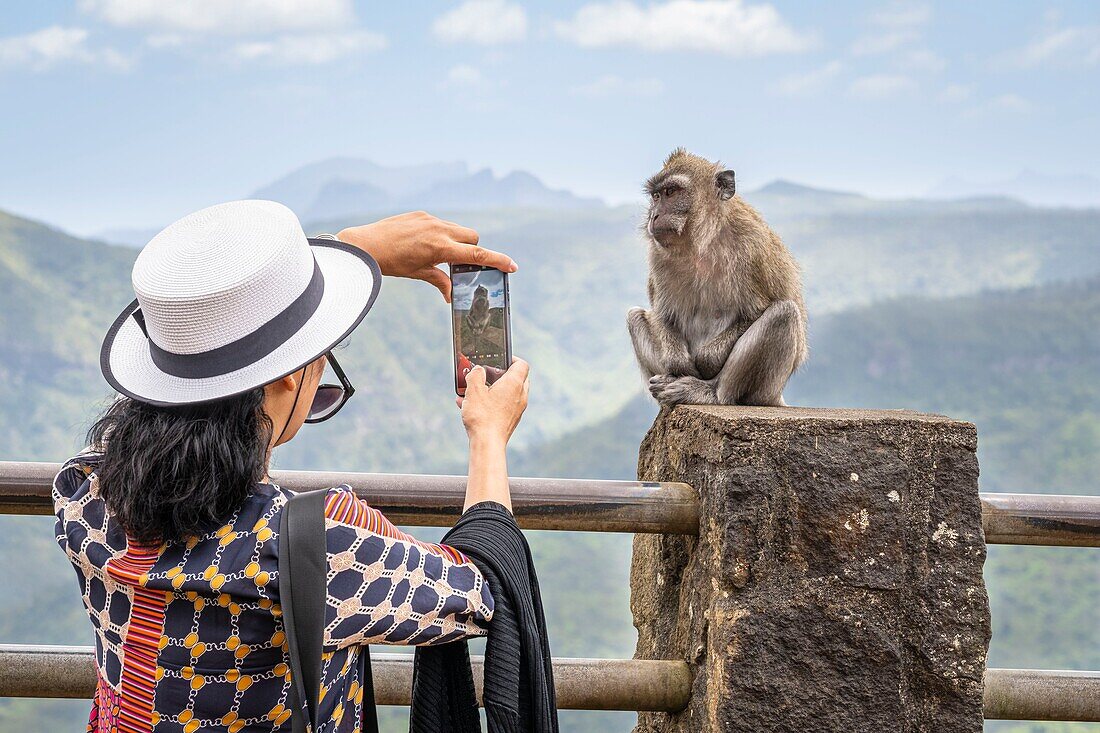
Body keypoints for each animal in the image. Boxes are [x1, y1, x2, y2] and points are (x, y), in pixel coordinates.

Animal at [629, 148, 809, 405]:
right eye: (655, 196)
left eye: (671, 192)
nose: (654, 215)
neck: (702, 242)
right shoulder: (658, 257)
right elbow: (664, 316)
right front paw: (678, 364)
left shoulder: (751, 248)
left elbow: (754, 312)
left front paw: (706, 361)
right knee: (634, 316)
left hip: (765, 388)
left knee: (784, 314)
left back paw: (710, 392)